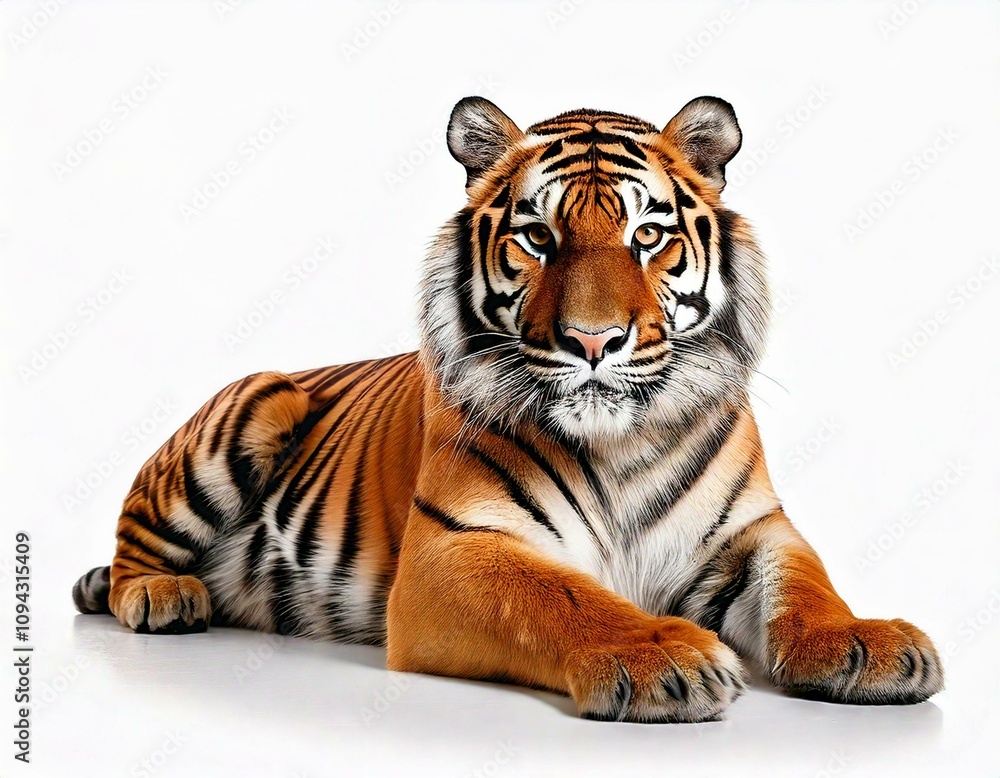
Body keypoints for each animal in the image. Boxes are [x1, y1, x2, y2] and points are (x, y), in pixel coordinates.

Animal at [73, 96, 943, 723]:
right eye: (537, 237)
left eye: (647, 235)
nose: (594, 340)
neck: (619, 445)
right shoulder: (454, 550)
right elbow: (562, 599)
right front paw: (667, 656)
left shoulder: (751, 532)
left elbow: (807, 584)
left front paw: (867, 645)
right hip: (257, 400)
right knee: (132, 545)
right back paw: (164, 596)